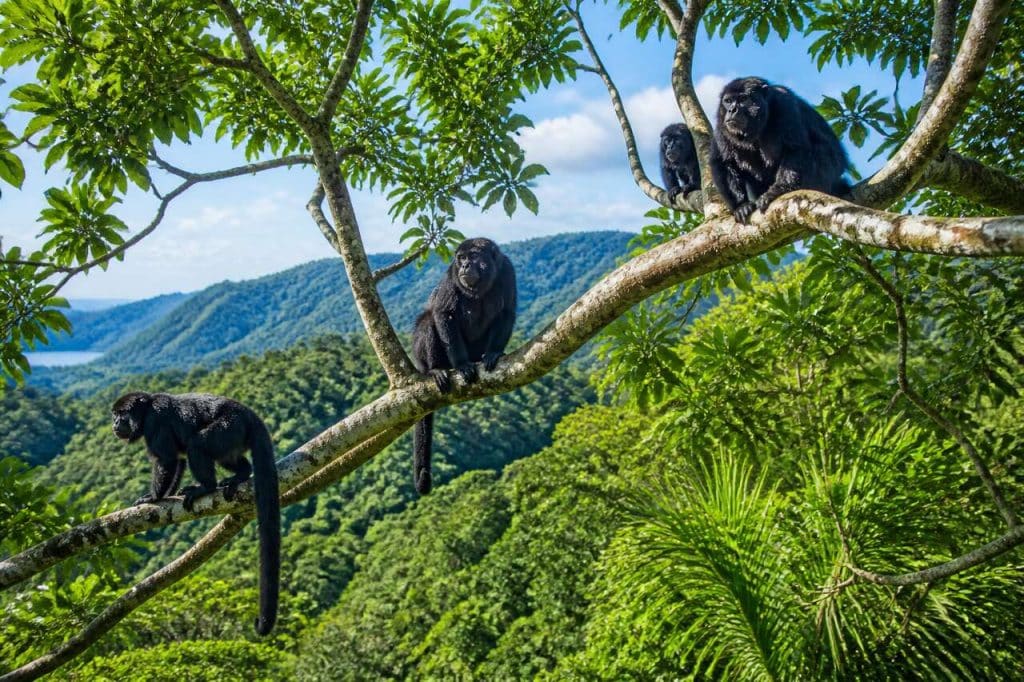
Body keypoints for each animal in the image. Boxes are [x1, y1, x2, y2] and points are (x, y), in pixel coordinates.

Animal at [111, 391, 280, 635]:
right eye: (114, 415)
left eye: (121, 414)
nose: (114, 423)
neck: (146, 410)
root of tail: (250, 415)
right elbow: (178, 461)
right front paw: (163, 496)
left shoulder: (156, 421)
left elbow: (167, 460)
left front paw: (153, 497)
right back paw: (241, 474)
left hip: (229, 427)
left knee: (197, 443)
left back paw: (206, 487)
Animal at [411, 238, 517, 495]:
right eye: (461, 258)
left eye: (474, 256)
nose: (465, 266)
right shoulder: (451, 275)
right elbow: (443, 313)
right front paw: (461, 365)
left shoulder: (507, 271)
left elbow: (506, 311)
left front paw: (494, 353)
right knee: (428, 321)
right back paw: (435, 369)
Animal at [710, 76, 851, 224]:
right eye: (728, 101)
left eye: (743, 99)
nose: (732, 110)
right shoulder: (721, 124)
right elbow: (723, 162)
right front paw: (741, 205)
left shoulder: (785, 104)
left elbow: (795, 148)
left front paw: (777, 191)